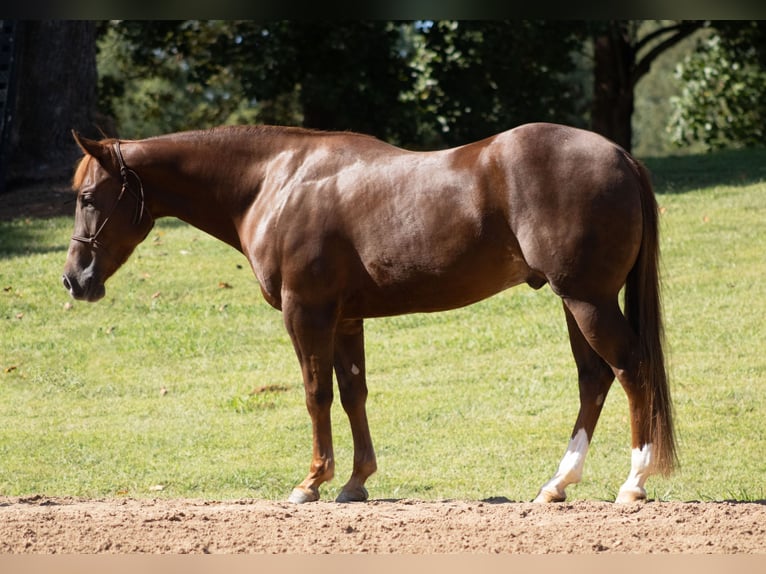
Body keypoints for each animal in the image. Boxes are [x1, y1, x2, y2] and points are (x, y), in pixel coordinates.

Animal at [62, 123, 676, 504]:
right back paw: (557, 484)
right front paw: (355, 482)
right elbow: (353, 393)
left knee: (631, 369)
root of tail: (619, 155)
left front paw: (311, 482)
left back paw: (633, 483)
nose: (74, 280)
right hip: (576, 302)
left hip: (587, 300)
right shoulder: (345, 320)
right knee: (594, 379)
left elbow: (316, 394)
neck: (277, 181)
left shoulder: (306, 313)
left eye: (89, 198)